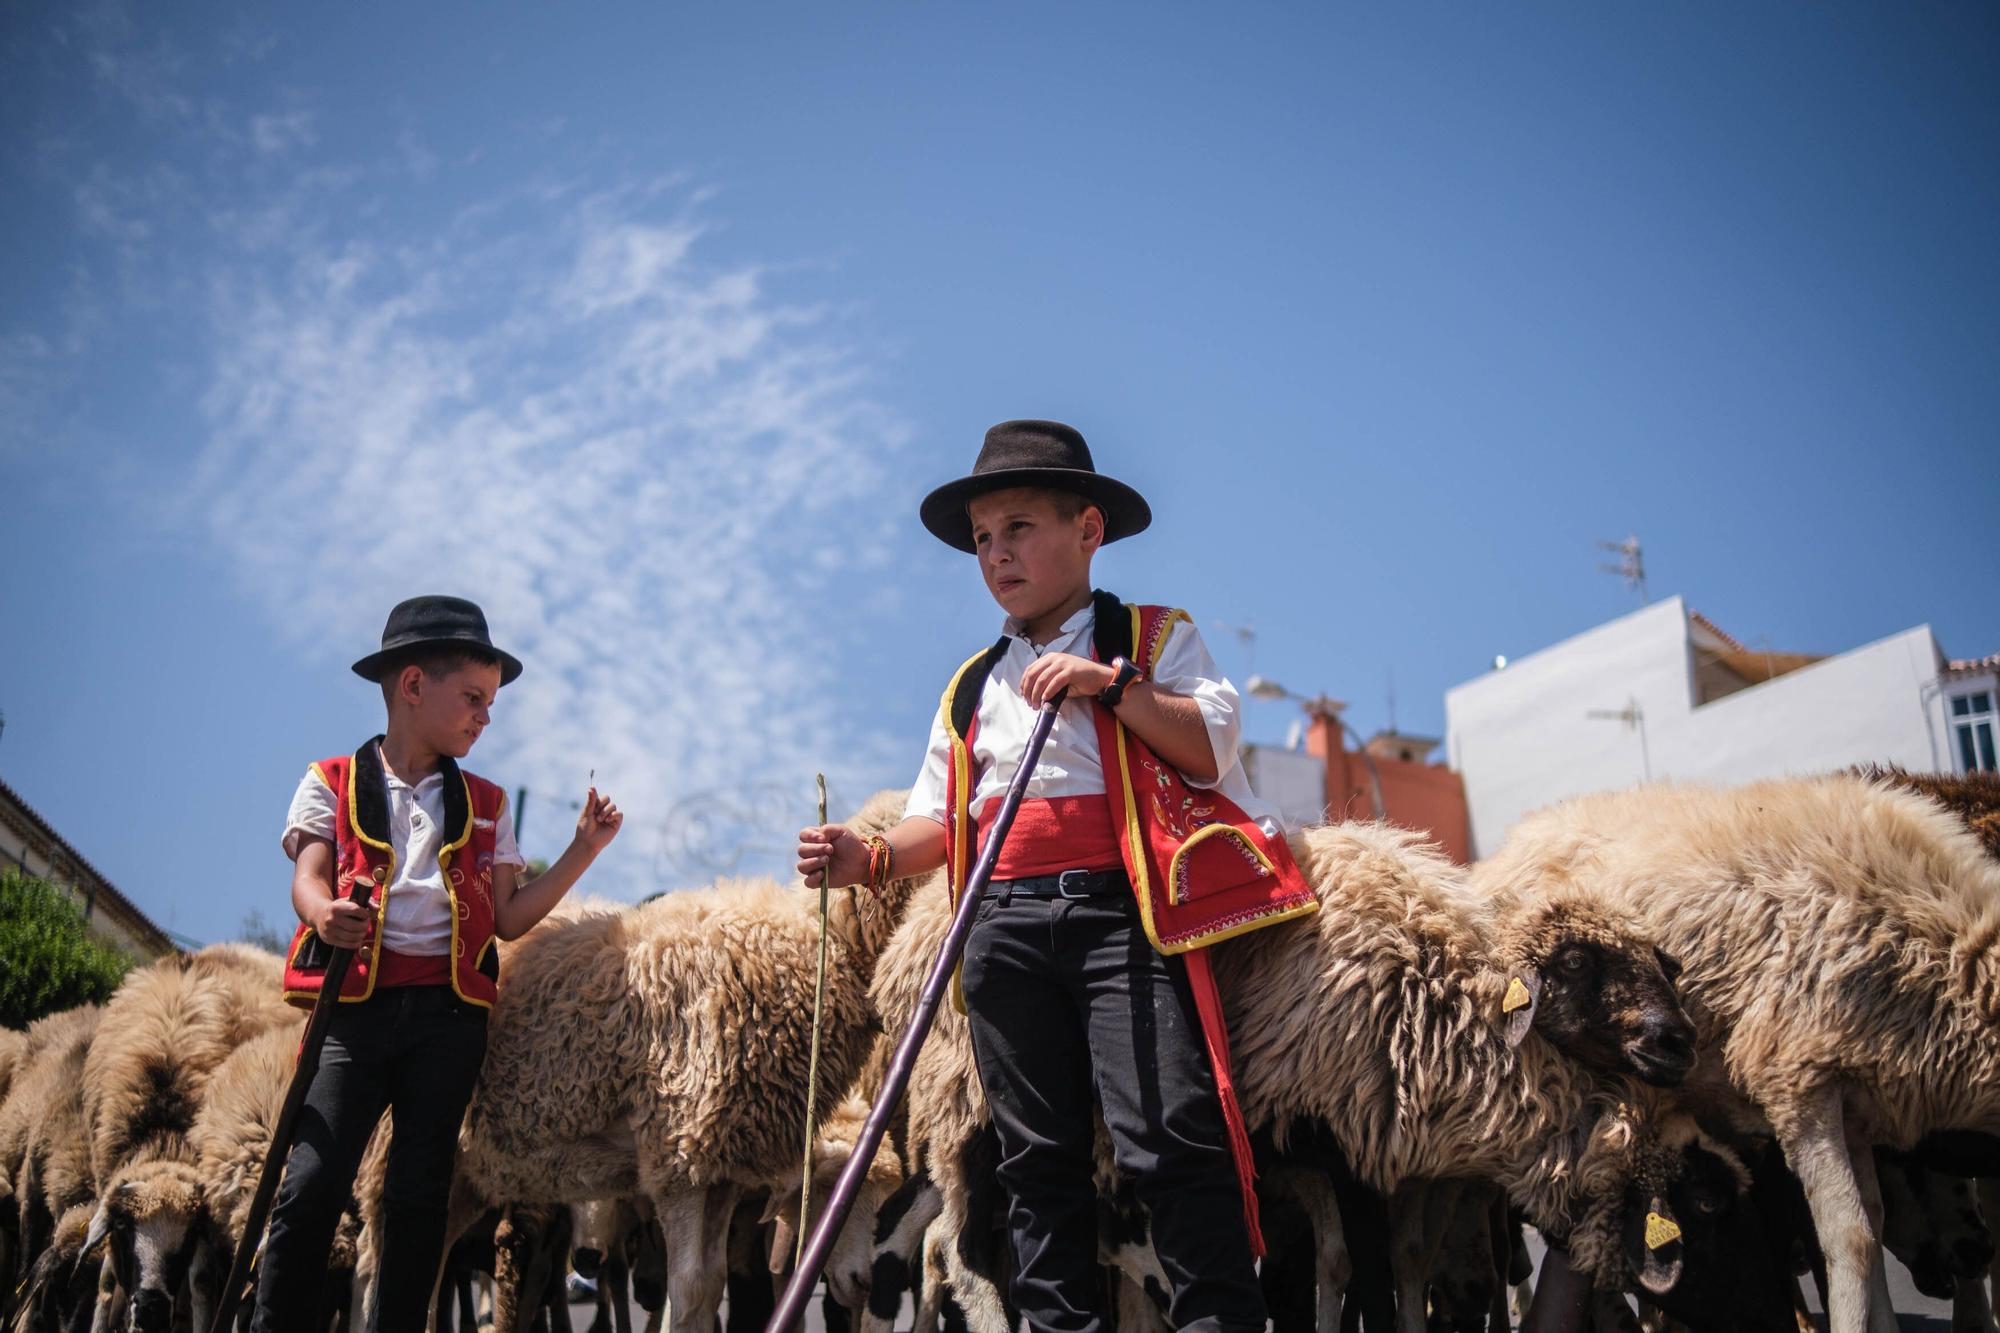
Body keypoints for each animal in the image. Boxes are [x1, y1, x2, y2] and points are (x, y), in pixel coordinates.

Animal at [438, 784, 920, 1328]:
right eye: (834, 1184)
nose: (864, 1285)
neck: (821, 946)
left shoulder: (724, 1164)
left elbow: (709, 1286)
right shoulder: (679, 1155)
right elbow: (688, 1286)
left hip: (472, 1169)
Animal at [1472, 768, 2000, 1328]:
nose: (1977, 1252)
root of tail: (1511, 842)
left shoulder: (1856, 1099)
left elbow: (1872, 1225)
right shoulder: (1797, 1083)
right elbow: (1850, 1239)